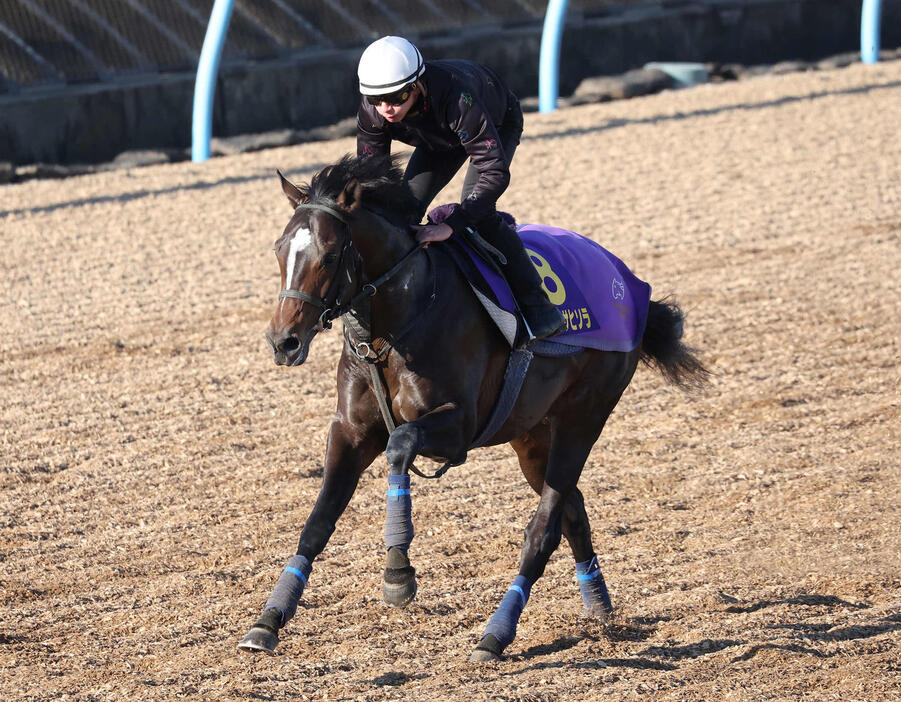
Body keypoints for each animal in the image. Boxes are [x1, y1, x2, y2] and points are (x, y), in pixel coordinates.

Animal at [241, 153, 712, 660]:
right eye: (279, 251)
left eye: (329, 256)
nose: (284, 342)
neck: (395, 328)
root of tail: (629, 283)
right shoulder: (350, 431)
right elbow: (318, 521)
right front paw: (269, 618)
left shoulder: (457, 430)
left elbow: (400, 444)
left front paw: (397, 574)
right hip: (532, 437)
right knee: (573, 510)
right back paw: (599, 606)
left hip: (583, 418)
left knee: (543, 530)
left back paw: (496, 633)